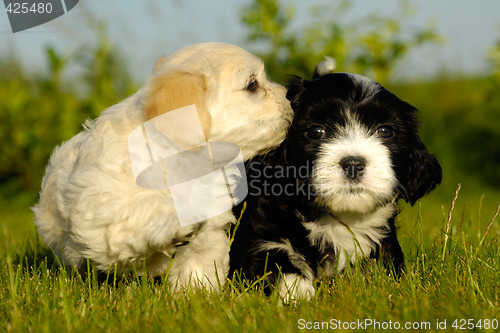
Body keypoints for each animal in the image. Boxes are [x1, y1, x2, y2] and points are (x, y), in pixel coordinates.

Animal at [34, 42, 292, 288]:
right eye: (252, 85)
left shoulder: (207, 236)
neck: (182, 158)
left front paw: (197, 297)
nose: (289, 97)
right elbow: (143, 209)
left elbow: (197, 272)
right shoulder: (100, 209)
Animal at [229, 71, 442, 300]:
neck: (338, 219)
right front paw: (296, 293)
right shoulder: (257, 236)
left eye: (385, 131)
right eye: (316, 131)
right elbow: (271, 259)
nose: (353, 164)